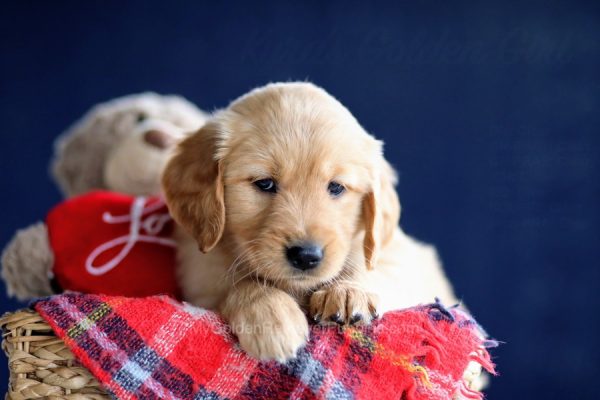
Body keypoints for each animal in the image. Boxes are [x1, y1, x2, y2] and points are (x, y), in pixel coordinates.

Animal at [162, 82, 458, 362]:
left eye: (336, 187)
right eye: (264, 183)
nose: (305, 256)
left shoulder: (406, 260)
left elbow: (374, 268)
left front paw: (348, 292)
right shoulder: (201, 280)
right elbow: (241, 286)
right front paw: (271, 317)